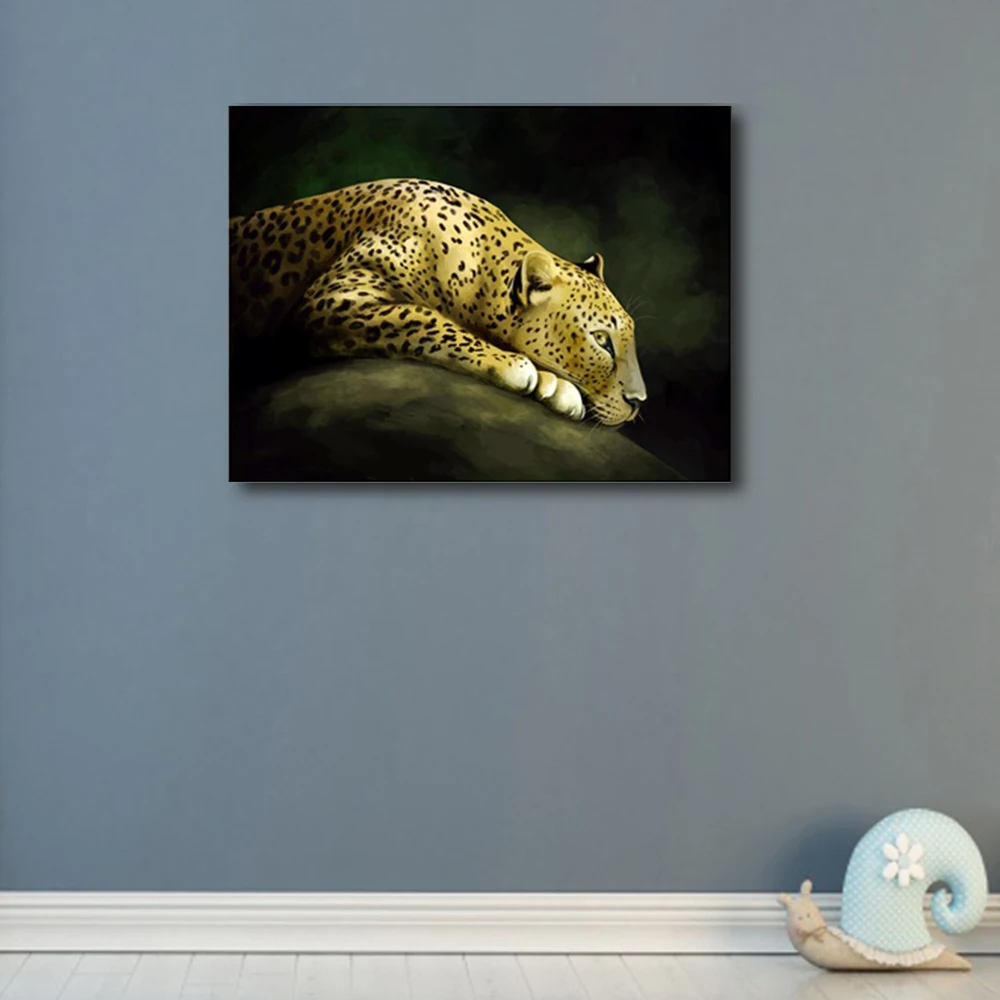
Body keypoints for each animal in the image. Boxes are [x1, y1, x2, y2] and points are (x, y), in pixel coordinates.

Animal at [230, 178, 647, 426]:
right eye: (601, 340)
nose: (639, 400)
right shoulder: (336, 296)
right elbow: (423, 317)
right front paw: (514, 365)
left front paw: (554, 385)